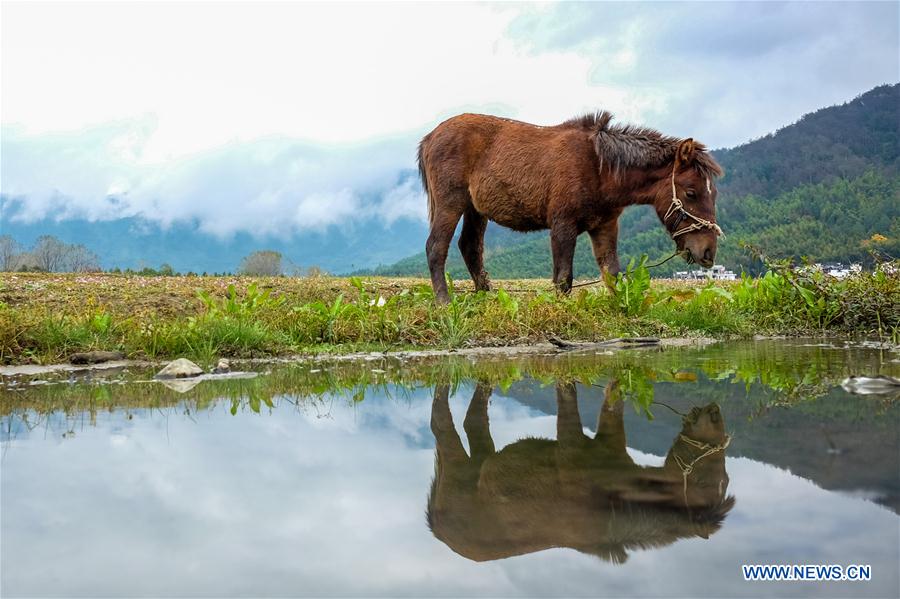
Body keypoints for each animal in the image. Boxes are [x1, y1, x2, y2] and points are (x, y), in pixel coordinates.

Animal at [420, 112, 724, 302]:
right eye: (691, 192)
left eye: (714, 194)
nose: (708, 253)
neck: (601, 168)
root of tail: (430, 137)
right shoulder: (562, 224)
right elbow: (564, 278)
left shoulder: (604, 227)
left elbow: (612, 274)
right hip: (451, 202)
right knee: (436, 246)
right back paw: (444, 302)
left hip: (475, 209)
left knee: (470, 247)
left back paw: (486, 295)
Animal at [428, 382, 732, 564]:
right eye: (716, 481)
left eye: (724, 480)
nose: (714, 407)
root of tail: (436, 527)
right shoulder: (570, 449)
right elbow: (569, 395)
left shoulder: (609, 441)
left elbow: (613, 401)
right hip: (456, 473)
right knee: (440, 424)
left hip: (477, 463)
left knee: (473, 421)